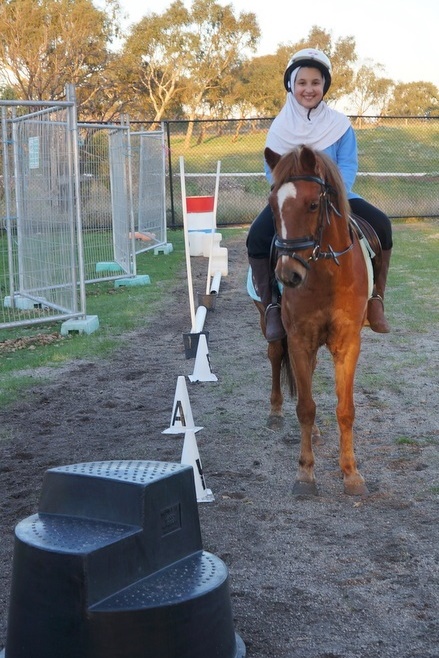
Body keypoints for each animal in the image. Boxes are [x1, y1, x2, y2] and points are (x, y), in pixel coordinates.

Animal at [254, 144, 372, 492]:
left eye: (313, 204)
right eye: (273, 206)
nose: (288, 274)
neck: (325, 275)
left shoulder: (348, 343)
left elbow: (345, 409)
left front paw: (351, 472)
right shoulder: (298, 340)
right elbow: (305, 407)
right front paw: (305, 473)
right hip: (271, 326)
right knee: (274, 355)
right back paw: (276, 411)